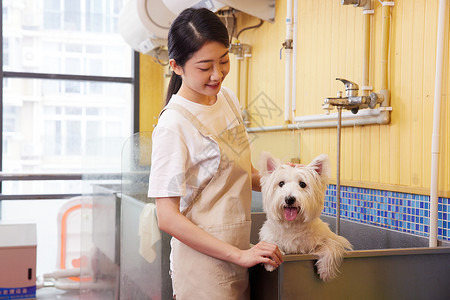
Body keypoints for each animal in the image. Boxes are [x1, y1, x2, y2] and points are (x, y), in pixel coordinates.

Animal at [258, 152, 354, 282]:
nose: (289, 199)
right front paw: (270, 261)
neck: (292, 225)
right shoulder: (269, 234)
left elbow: (331, 245)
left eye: (302, 184)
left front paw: (325, 271)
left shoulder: (329, 239)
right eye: (281, 183)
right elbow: (270, 242)